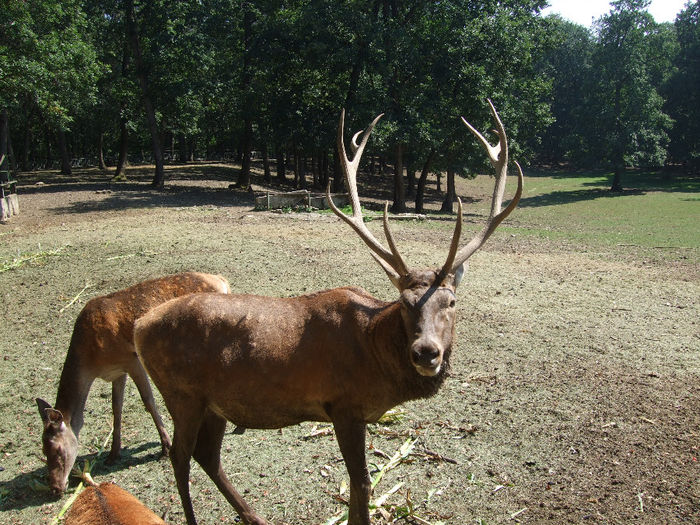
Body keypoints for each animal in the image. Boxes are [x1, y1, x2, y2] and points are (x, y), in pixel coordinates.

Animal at [36, 272, 230, 494]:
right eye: (43, 449)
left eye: (58, 449)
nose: (55, 487)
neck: (92, 361)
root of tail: (221, 280)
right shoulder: (117, 372)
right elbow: (116, 408)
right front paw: (113, 454)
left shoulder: (131, 359)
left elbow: (148, 401)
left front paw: (165, 447)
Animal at [134, 99, 524, 524]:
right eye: (404, 304)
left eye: (451, 302)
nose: (426, 352)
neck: (377, 358)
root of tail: (139, 325)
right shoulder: (344, 405)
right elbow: (361, 485)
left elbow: (357, 487)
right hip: (182, 394)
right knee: (180, 457)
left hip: (214, 403)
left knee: (207, 455)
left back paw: (254, 516)